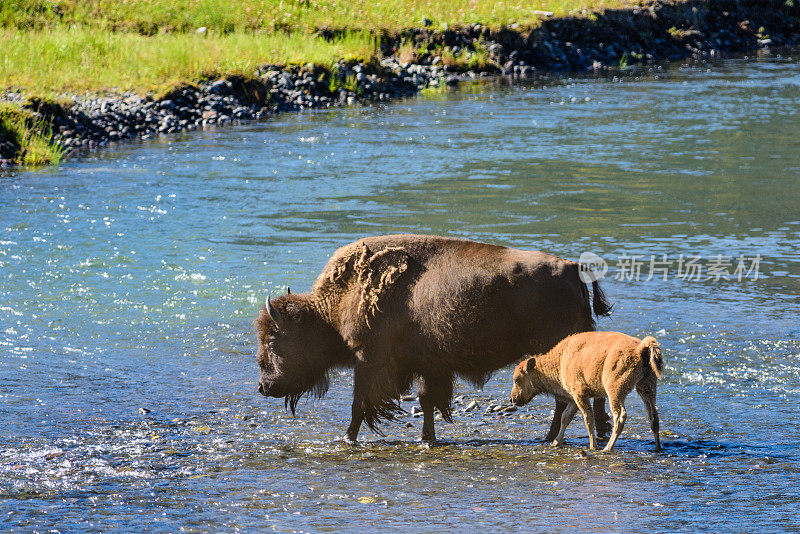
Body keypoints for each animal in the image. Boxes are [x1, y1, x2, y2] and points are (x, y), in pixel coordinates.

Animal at [256, 234, 612, 444]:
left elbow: (360, 404)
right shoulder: (427, 366)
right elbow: (427, 401)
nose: (263, 386)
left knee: (565, 398)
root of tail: (574, 268)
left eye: (273, 341)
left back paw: (553, 437)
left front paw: (348, 437)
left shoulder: (369, 363)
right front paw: (427, 438)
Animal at [512, 332, 664, 454]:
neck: (561, 359)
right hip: (646, 387)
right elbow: (565, 417)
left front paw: (592, 446)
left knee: (619, 416)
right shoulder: (573, 399)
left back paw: (607, 448)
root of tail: (641, 347)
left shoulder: (580, 395)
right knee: (653, 416)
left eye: (517, 379)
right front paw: (556, 442)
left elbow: (588, 419)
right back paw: (657, 448)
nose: (513, 399)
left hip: (615, 392)